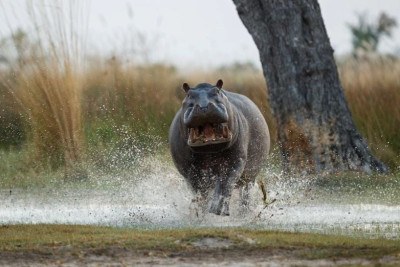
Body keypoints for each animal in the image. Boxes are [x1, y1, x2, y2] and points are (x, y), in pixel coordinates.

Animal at [167, 79, 270, 216]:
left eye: (217, 91)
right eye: (188, 95)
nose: (204, 106)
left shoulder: (236, 161)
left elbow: (226, 183)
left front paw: (218, 210)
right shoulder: (189, 168)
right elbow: (200, 189)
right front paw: (199, 212)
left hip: (250, 177)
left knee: (245, 195)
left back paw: (243, 214)